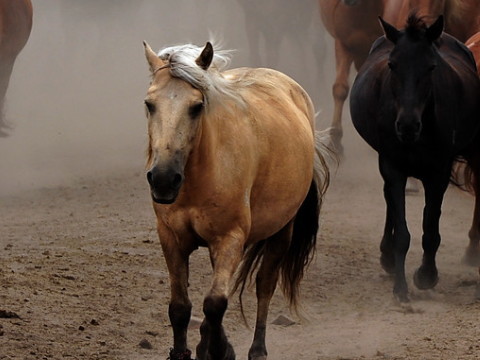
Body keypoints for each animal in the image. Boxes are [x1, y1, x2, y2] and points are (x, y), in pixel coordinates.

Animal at [142, 40, 330, 358]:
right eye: (149, 104)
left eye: (196, 106)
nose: (164, 179)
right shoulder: (171, 238)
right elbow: (180, 307)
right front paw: (186, 350)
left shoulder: (230, 239)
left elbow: (215, 303)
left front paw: (218, 349)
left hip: (282, 230)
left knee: (264, 286)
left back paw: (257, 349)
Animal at [348, 13, 480, 300]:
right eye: (392, 64)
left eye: (431, 67)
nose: (407, 125)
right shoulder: (393, 164)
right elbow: (402, 232)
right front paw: (401, 288)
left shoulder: (438, 171)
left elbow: (430, 228)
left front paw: (426, 275)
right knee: (389, 198)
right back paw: (387, 257)